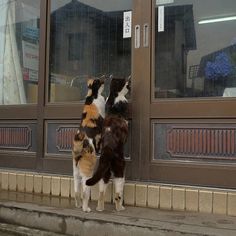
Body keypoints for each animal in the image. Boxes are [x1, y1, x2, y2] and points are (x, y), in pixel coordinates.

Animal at [86, 76, 131, 212]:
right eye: (125, 83)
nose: (129, 80)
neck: (113, 96)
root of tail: (107, 148)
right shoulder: (124, 103)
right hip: (119, 168)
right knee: (117, 193)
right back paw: (120, 208)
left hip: (104, 169)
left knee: (101, 191)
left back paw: (100, 208)